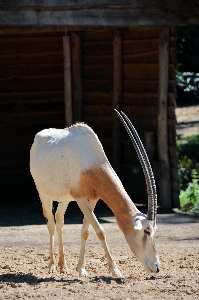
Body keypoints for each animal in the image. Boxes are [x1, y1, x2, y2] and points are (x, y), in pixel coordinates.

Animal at [29, 110, 160, 276]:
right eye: (147, 231)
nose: (157, 267)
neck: (91, 162)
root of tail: (38, 137)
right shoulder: (80, 199)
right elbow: (100, 231)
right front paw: (115, 270)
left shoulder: (92, 199)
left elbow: (85, 232)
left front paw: (81, 269)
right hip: (44, 194)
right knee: (51, 223)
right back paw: (52, 265)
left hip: (64, 199)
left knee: (59, 220)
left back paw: (63, 265)